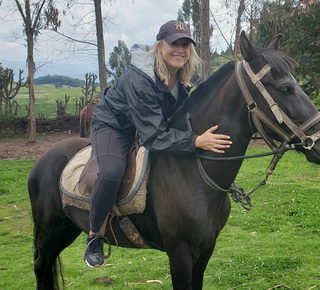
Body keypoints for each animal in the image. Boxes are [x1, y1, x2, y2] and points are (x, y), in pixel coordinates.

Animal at [28, 32, 320, 288]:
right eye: (285, 88)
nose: (319, 142)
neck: (194, 172)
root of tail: (42, 160)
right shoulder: (180, 255)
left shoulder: (205, 250)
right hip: (50, 232)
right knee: (41, 267)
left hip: (67, 229)